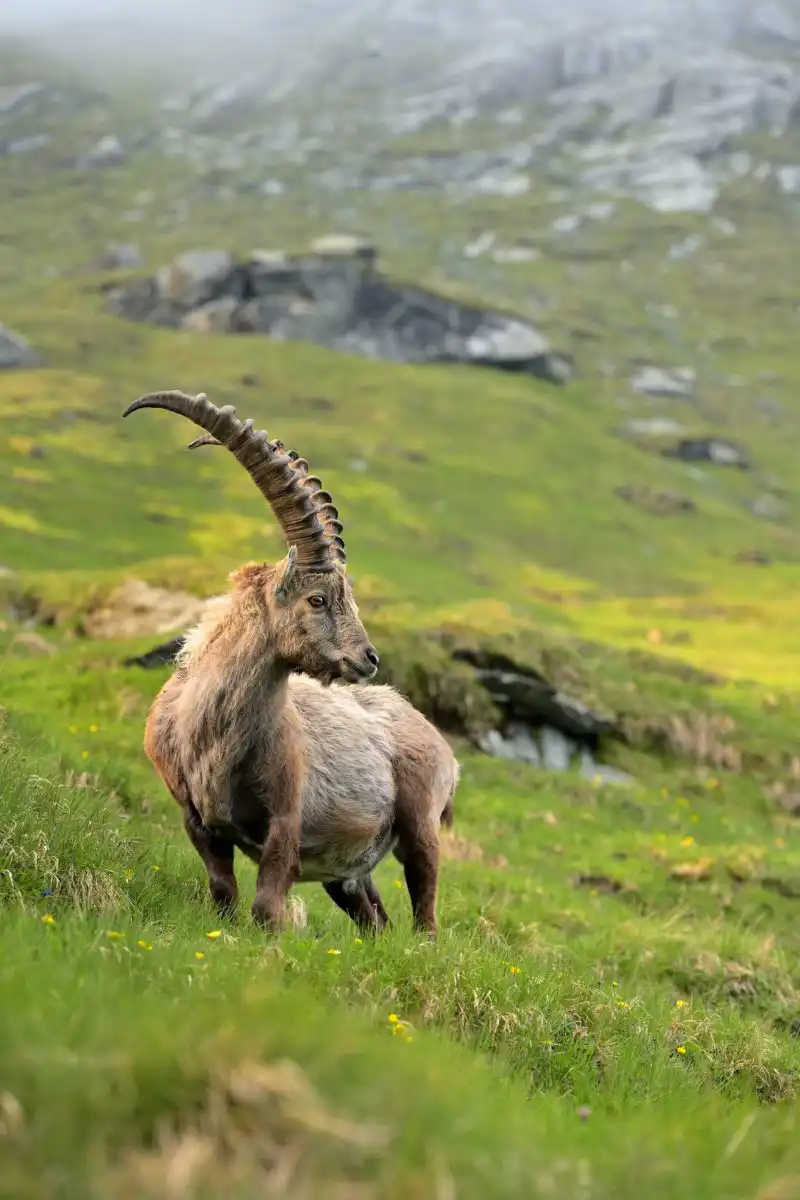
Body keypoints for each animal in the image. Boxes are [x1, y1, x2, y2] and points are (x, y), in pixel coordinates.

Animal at [122, 389, 459, 936]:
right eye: (317, 599)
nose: (368, 658)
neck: (212, 733)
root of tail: (443, 745)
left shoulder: (286, 818)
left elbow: (266, 907)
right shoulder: (197, 821)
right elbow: (223, 893)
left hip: (420, 825)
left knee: (424, 911)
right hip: (348, 874)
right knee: (375, 919)